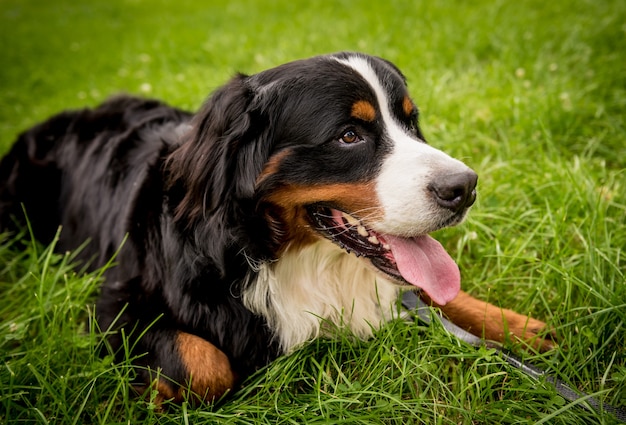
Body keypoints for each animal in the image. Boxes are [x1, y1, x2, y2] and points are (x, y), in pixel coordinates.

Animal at [0, 51, 552, 402]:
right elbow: (205, 364)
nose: (466, 187)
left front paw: (517, 326)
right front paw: (150, 398)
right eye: (349, 135)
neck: (273, 251)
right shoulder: (115, 304)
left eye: (411, 124)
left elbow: (436, 293)